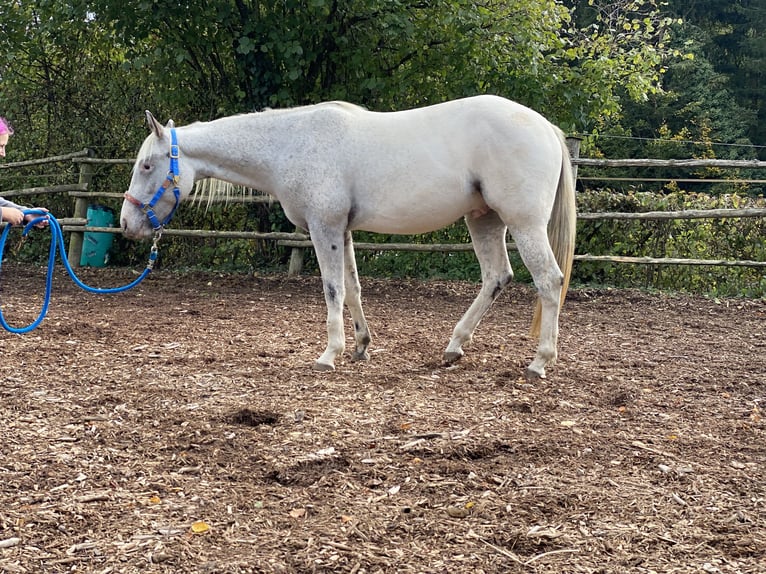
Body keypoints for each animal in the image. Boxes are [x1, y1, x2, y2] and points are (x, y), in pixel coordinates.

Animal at [120, 96, 576, 380]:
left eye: (146, 165)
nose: (126, 224)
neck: (291, 143)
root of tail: (546, 128)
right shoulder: (344, 231)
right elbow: (354, 288)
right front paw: (360, 346)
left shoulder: (325, 228)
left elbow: (332, 288)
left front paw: (329, 354)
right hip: (484, 220)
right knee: (497, 277)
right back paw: (454, 346)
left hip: (522, 223)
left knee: (549, 281)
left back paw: (539, 362)